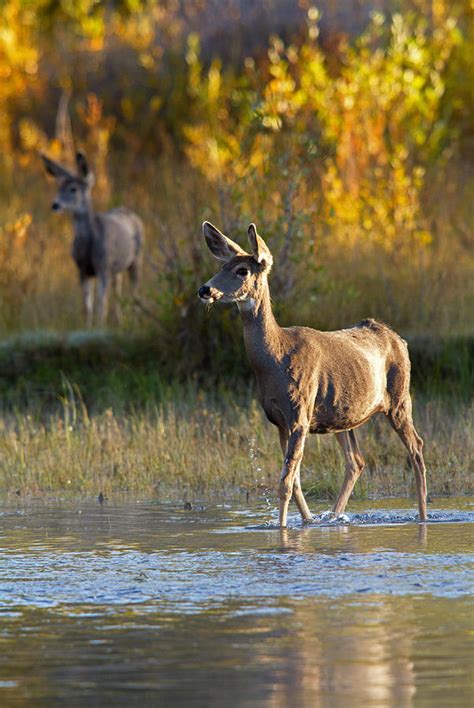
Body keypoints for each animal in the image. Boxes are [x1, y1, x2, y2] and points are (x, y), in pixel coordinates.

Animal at [41, 151, 143, 326]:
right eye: (59, 187)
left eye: (73, 189)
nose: (55, 205)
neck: (88, 246)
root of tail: (133, 215)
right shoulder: (82, 270)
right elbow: (87, 307)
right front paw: (87, 327)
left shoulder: (103, 267)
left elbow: (101, 305)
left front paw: (100, 326)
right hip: (117, 268)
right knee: (118, 292)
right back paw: (119, 321)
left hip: (136, 259)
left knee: (134, 293)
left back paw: (135, 321)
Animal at [198, 221, 428, 524]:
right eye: (222, 265)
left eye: (242, 270)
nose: (204, 289)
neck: (275, 359)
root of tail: (399, 339)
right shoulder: (279, 419)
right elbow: (294, 481)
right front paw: (306, 522)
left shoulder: (300, 413)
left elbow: (285, 482)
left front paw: (282, 528)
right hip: (343, 414)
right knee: (356, 461)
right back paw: (334, 516)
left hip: (400, 398)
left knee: (416, 448)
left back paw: (423, 515)